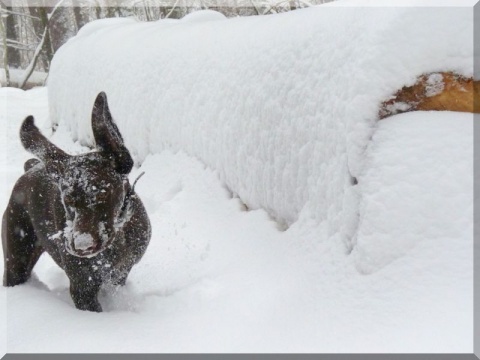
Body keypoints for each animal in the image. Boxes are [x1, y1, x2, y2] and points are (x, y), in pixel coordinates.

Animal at [1, 91, 151, 310]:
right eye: (68, 200)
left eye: (102, 194)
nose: (82, 245)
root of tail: (31, 167)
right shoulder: (83, 287)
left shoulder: (119, 274)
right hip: (17, 257)